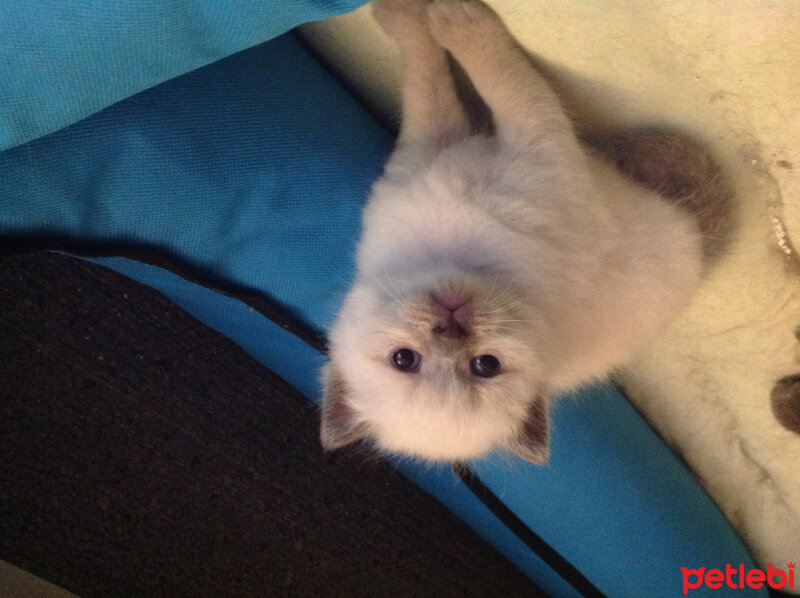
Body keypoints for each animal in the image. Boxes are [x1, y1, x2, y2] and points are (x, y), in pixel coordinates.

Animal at [318, 0, 732, 464]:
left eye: (485, 366)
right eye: (405, 359)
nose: (450, 327)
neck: (453, 259)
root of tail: (698, 246)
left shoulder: (476, 142)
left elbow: (457, 73)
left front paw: (425, 17)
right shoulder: (486, 143)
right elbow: (462, 72)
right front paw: (428, 17)